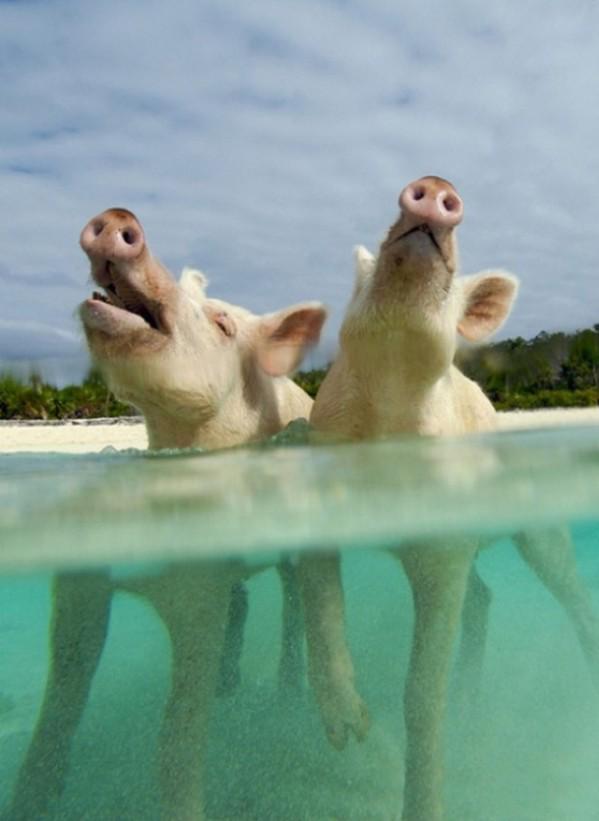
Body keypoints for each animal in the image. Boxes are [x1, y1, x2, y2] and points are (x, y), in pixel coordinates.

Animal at [6, 208, 327, 821]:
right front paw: (32, 798)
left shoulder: (195, 586)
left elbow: (177, 731)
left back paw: (287, 694)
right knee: (243, 602)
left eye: (223, 324)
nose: (118, 218)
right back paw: (232, 685)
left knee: (292, 598)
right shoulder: (83, 576)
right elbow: (65, 692)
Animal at [298, 177, 599, 821]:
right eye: (360, 280)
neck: (388, 404)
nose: (436, 185)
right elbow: (319, 591)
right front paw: (348, 732)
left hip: (537, 529)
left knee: (568, 591)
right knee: (484, 595)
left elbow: (420, 695)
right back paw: (468, 698)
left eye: (457, 296)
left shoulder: (445, 548)